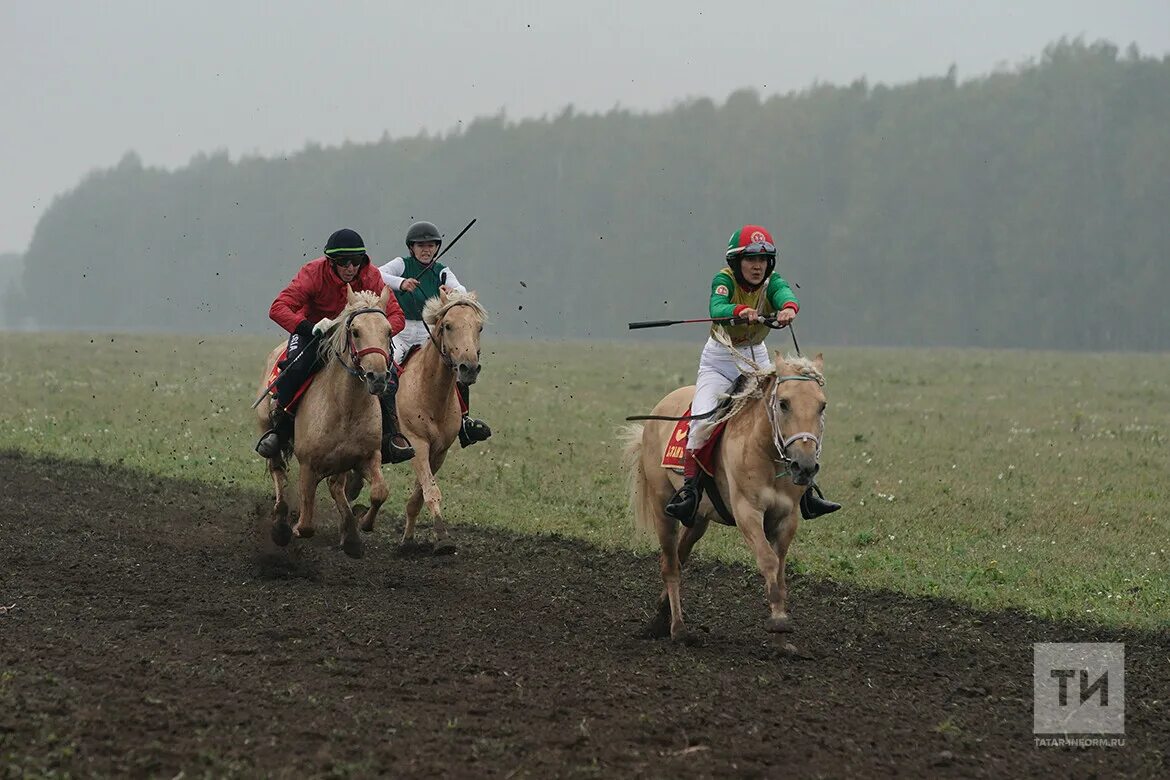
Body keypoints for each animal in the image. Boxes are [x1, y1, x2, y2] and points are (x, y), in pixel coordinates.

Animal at [253, 284, 395, 558]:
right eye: (355, 331)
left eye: (388, 331)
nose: (378, 377)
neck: (345, 406)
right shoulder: (308, 466)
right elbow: (307, 523)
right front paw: (294, 528)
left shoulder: (368, 457)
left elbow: (379, 492)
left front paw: (363, 524)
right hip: (267, 427)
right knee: (278, 471)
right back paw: (281, 523)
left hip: (341, 462)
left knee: (335, 486)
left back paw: (350, 535)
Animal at [348, 288, 491, 554]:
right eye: (447, 325)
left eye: (479, 327)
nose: (468, 368)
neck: (430, 393)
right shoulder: (417, 444)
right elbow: (431, 491)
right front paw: (443, 538)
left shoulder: (438, 452)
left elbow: (419, 495)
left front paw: (408, 541)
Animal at [627, 350, 828, 645]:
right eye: (784, 403)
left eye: (821, 406)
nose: (804, 466)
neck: (766, 453)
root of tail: (655, 414)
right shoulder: (747, 513)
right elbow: (768, 560)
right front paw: (779, 622)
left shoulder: (786, 518)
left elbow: (779, 572)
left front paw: (782, 638)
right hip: (662, 506)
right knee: (670, 565)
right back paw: (678, 629)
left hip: (698, 519)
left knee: (680, 557)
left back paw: (660, 620)